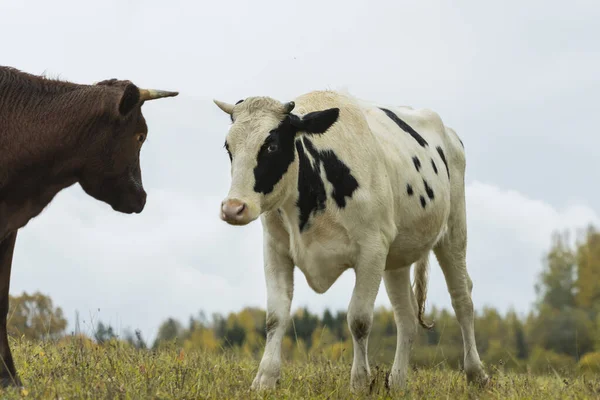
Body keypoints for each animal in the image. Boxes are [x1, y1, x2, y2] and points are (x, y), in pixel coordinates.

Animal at [214, 90, 488, 390]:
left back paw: (476, 374)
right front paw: (264, 379)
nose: (233, 208)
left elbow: (359, 319)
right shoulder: (275, 249)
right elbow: (276, 315)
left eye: (272, 145)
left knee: (462, 299)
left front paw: (359, 383)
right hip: (397, 257)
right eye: (228, 147)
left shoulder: (372, 250)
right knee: (406, 315)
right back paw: (397, 381)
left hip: (453, 232)